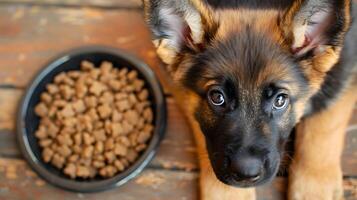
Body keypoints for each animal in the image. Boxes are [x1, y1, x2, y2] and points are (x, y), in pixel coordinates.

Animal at [143, 0, 356, 199]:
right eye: (217, 97)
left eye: (280, 100)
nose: (247, 173)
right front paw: (227, 194)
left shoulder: (346, 69)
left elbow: (323, 127)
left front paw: (314, 190)